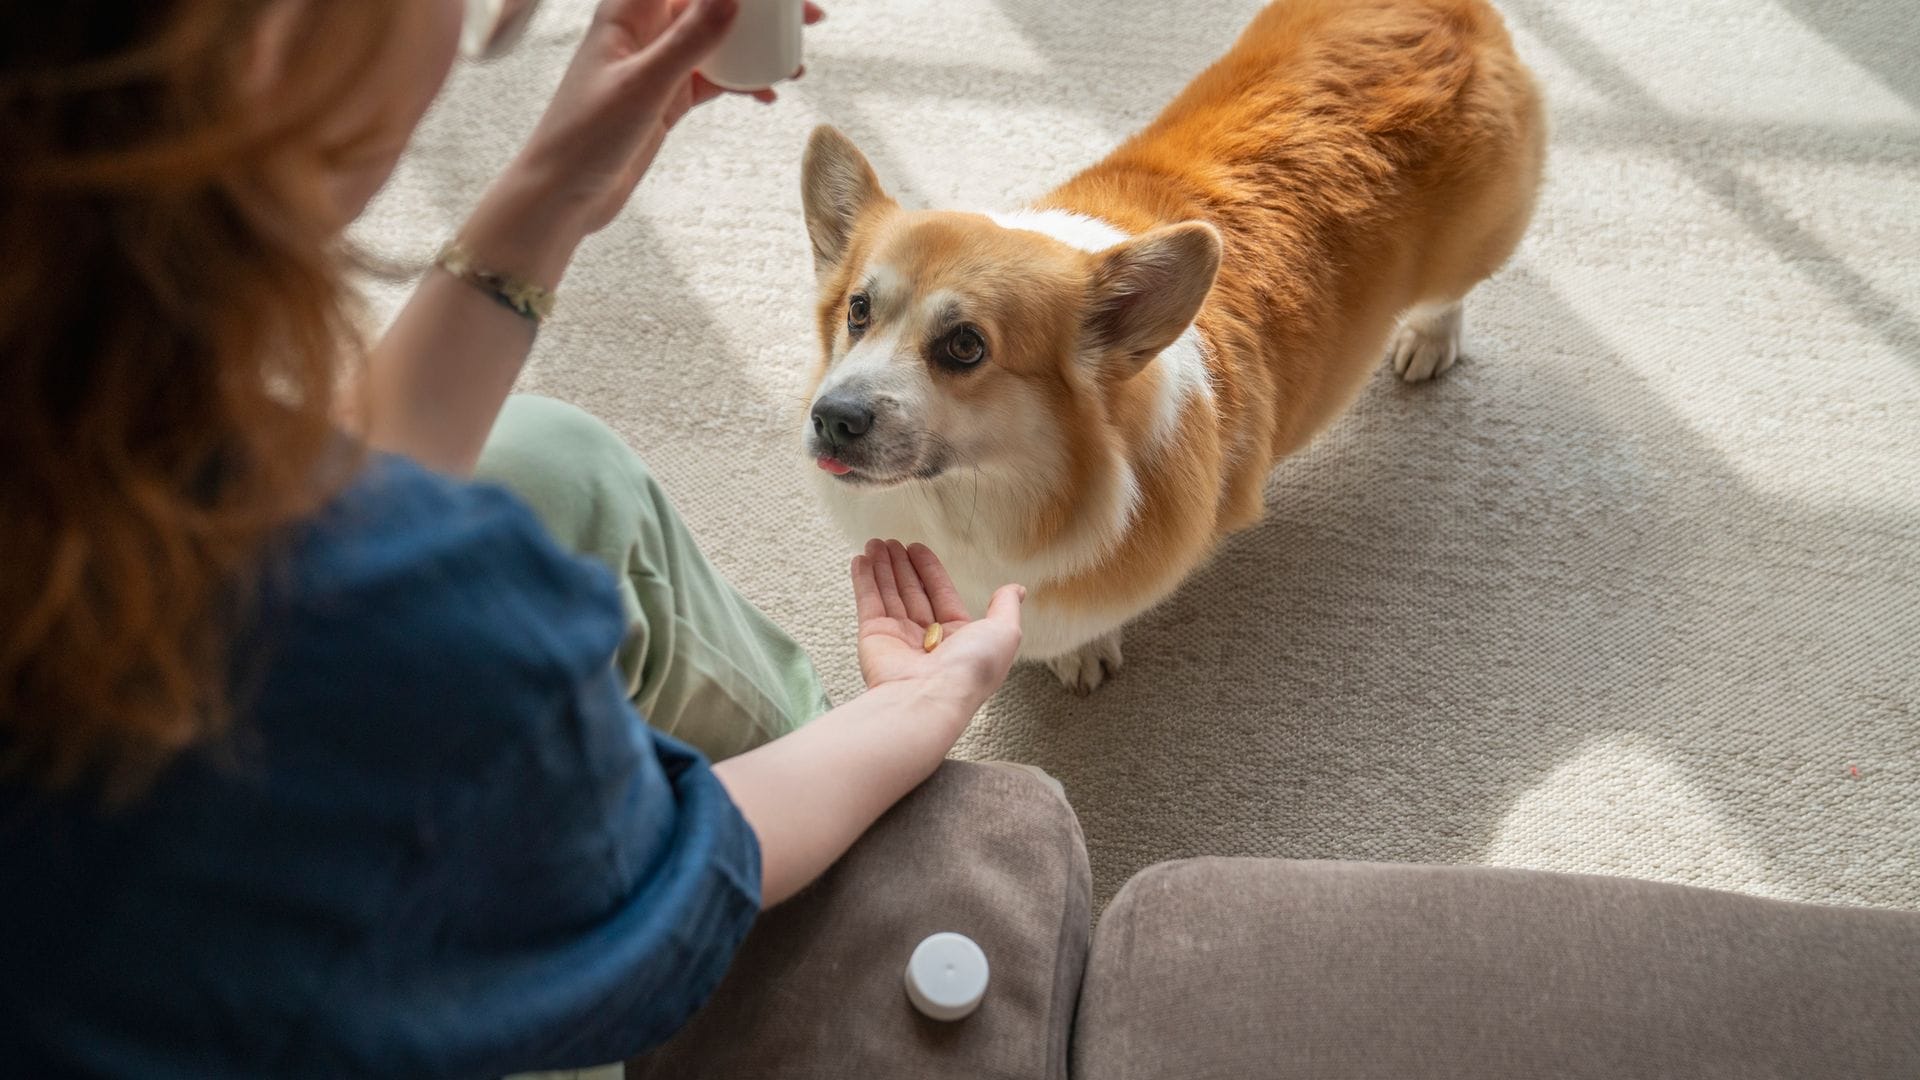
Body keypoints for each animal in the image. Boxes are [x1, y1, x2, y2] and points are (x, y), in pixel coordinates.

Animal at [794, 0, 1543, 687]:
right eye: (858, 310)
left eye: (966, 346)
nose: (832, 418)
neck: (992, 497)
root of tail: (1446, 9)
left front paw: (1081, 657)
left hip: (1472, 245)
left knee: (1452, 291)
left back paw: (1428, 339)